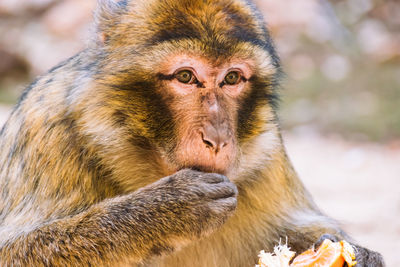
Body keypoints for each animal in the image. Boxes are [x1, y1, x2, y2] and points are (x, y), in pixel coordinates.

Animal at [0, 0, 382, 266]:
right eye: (185, 76)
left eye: (232, 78)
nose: (218, 138)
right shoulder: (46, 126)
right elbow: (12, 250)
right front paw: (165, 210)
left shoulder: (267, 146)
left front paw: (359, 255)